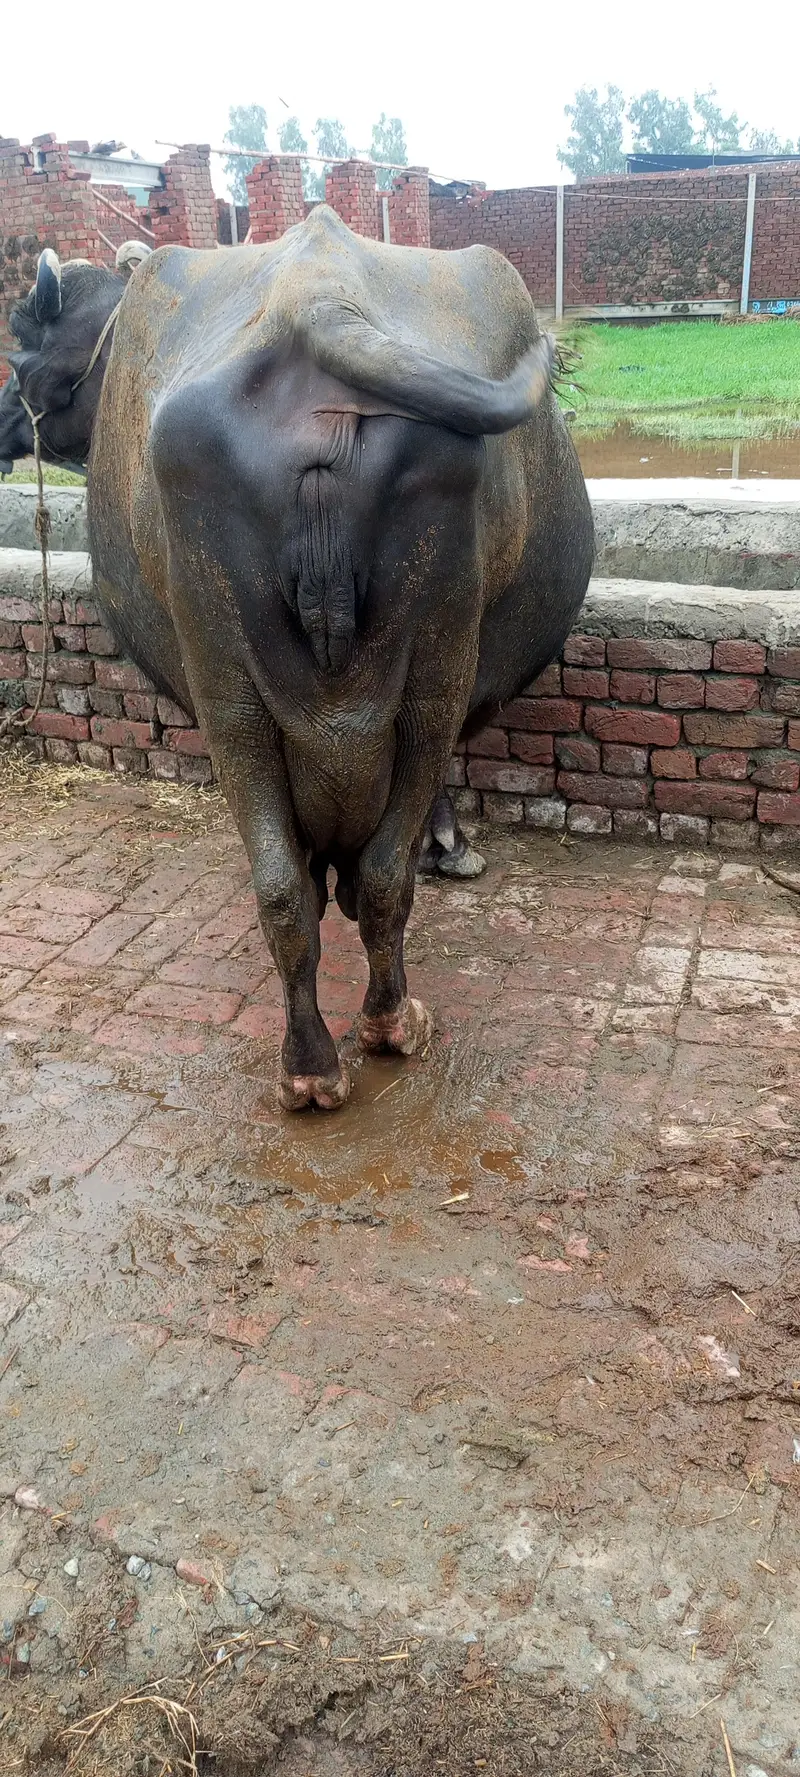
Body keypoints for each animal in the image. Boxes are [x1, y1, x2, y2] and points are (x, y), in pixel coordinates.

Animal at [2, 213, 593, 1108]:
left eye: (21, 353)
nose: (2, 420)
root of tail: (314, 299)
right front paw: (449, 846)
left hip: (232, 693)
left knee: (285, 886)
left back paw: (312, 1059)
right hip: (422, 671)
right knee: (377, 874)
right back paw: (384, 1025)